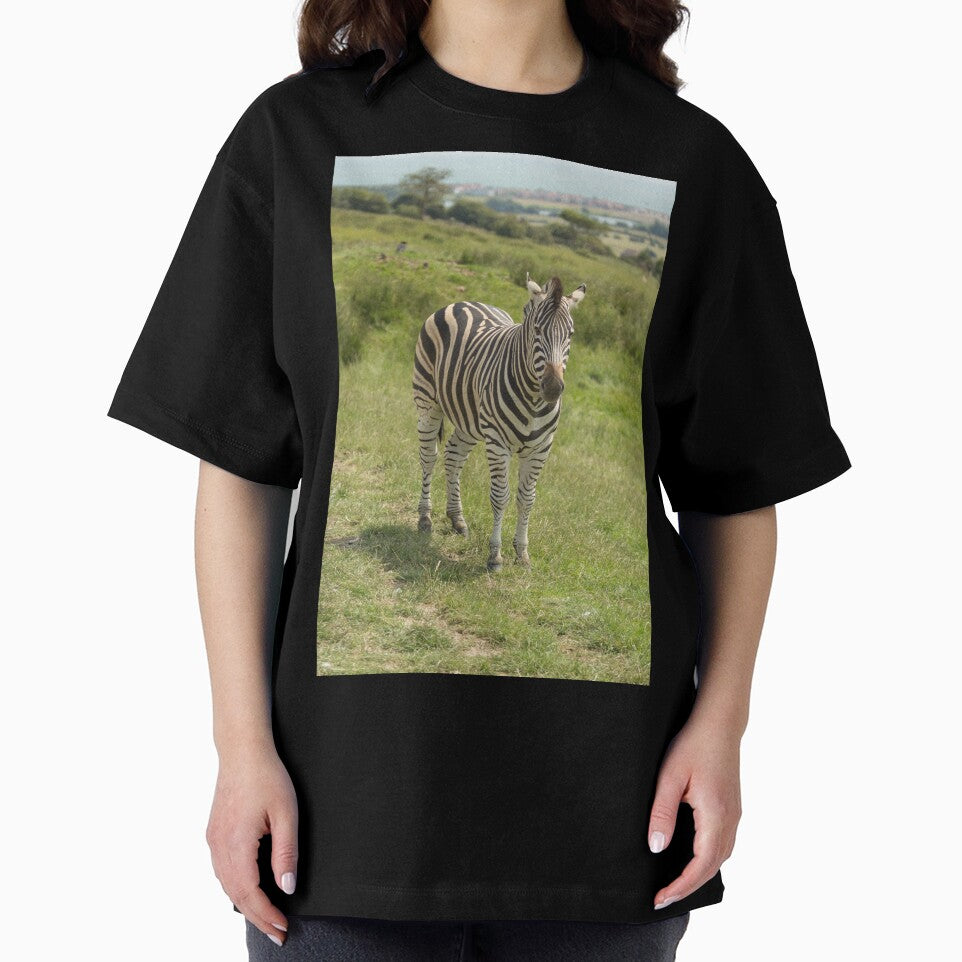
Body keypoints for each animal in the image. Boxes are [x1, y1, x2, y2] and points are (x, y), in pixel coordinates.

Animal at [412, 273, 587, 571]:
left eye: (571, 335)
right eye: (536, 330)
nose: (553, 389)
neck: (533, 400)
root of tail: (464, 302)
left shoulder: (541, 448)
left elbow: (527, 499)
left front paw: (522, 554)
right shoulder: (497, 442)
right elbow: (500, 496)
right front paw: (495, 555)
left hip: (469, 420)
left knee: (453, 455)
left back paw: (457, 519)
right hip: (428, 402)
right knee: (429, 457)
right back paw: (425, 517)